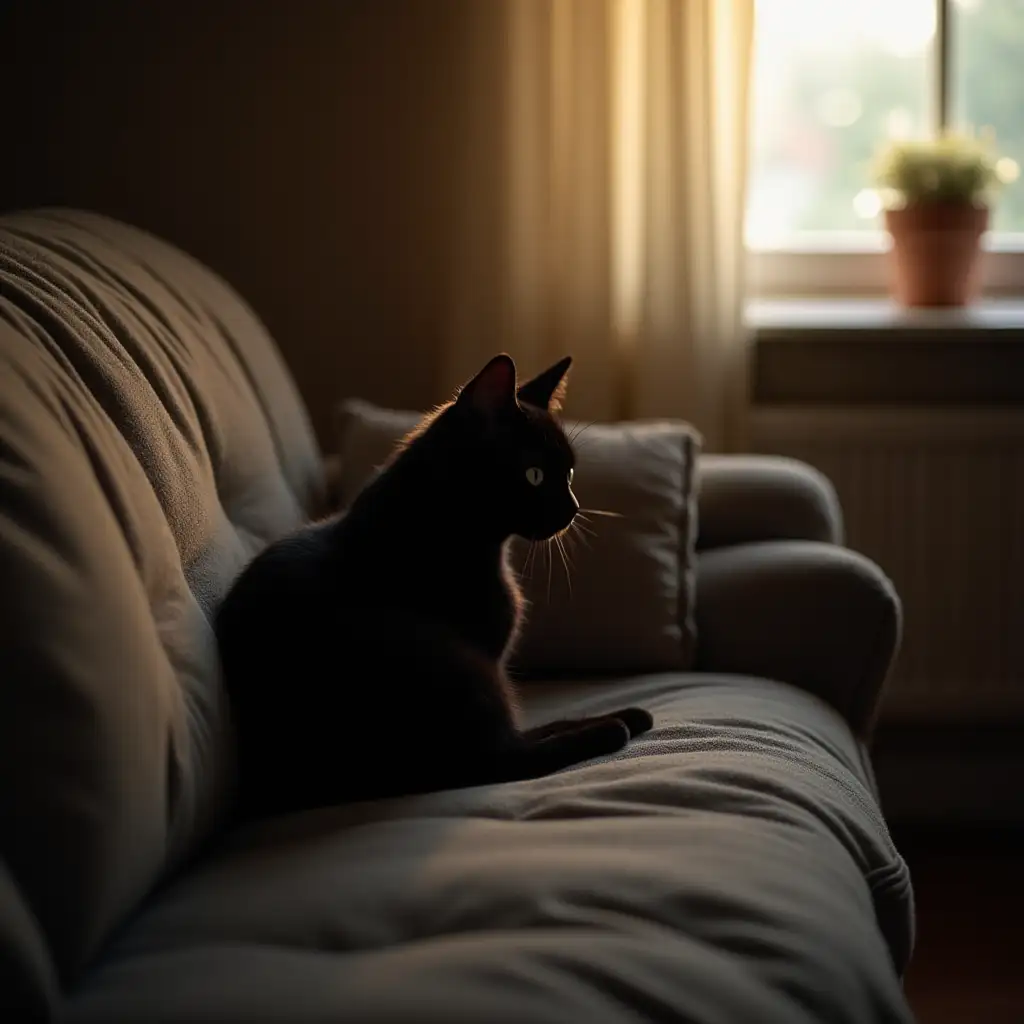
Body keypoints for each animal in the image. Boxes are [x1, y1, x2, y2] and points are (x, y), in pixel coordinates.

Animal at [214, 356, 655, 819]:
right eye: (534, 475)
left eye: (568, 472)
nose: (572, 508)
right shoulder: (487, 661)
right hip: (461, 664)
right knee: (503, 758)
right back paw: (613, 729)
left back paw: (631, 716)